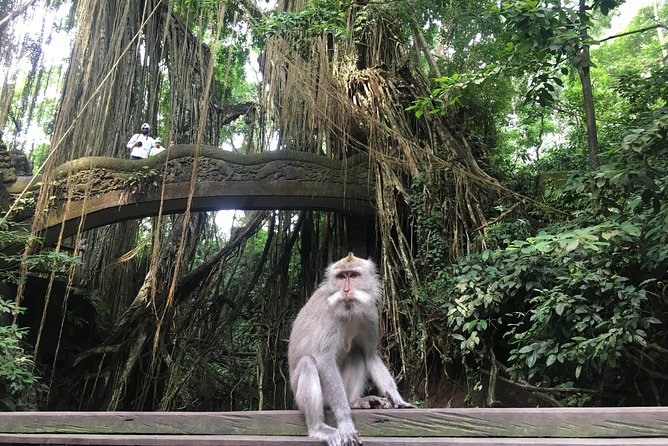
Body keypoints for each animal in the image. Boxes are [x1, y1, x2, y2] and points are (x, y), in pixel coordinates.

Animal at [288, 253, 413, 446]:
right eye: (341, 277)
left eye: (353, 275)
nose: (346, 290)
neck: (349, 310)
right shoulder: (327, 316)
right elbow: (324, 361)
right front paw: (345, 422)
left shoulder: (370, 314)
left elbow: (370, 355)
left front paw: (396, 397)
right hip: (311, 397)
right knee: (308, 362)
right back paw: (319, 428)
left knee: (356, 352)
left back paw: (354, 402)